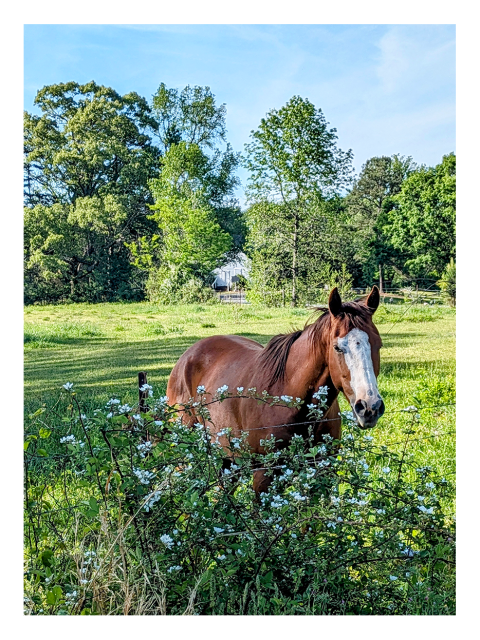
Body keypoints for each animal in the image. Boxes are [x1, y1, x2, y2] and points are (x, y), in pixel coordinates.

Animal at [166, 286, 384, 494]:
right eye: (338, 347)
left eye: (379, 345)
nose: (370, 407)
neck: (288, 398)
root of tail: (187, 356)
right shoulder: (263, 478)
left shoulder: (323, 475)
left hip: (229, 460)